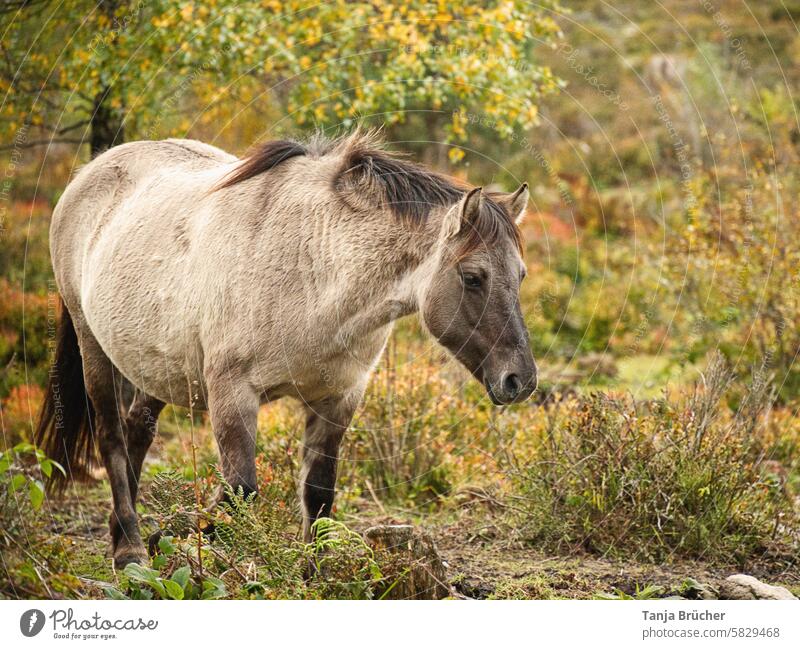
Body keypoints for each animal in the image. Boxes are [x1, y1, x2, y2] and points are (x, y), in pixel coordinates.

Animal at [37, 132, 536, 568]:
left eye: (521, 275)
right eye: (472, 277)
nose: (521, 380)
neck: (311, 266)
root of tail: (91, 171)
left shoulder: (338, 399)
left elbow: (317, 495)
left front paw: (313, 574)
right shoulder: (233, 395)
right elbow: (240, 492)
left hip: (156, 363)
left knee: (138, 429)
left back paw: (123, 533)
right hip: (93, 347)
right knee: (111, 437)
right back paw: (131, 549)